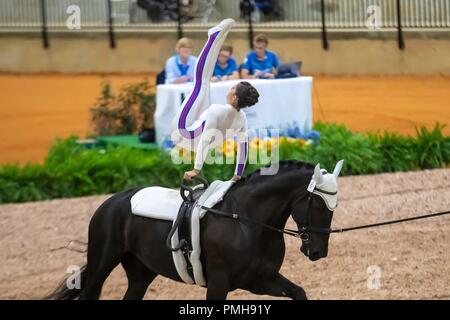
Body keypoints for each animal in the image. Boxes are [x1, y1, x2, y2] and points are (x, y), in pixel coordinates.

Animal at [46, 160, 342, 300]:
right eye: (317, 204)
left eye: (334, 207)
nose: (318, 251)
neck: (248, 223)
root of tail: (110, 203)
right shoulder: (220, 284)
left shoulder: (260, 279)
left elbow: (298, 292)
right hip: (102, 264)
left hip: (141, 272)